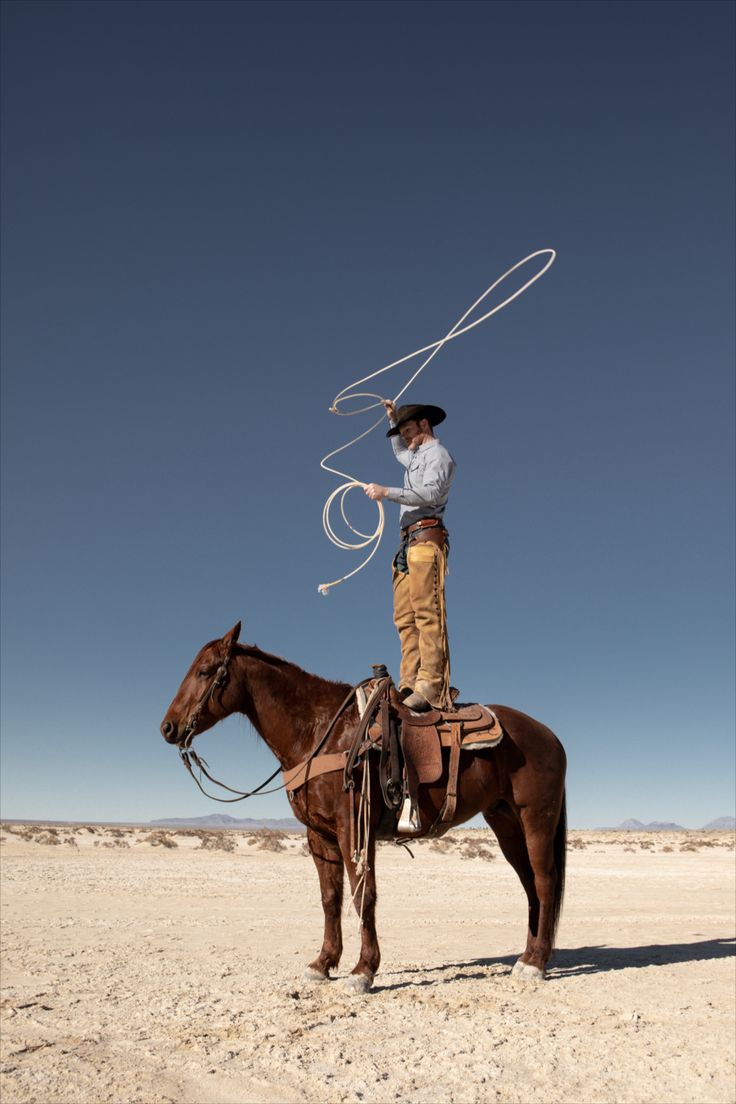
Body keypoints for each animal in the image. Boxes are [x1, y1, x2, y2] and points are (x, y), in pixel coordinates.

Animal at [160, 622, 564, 993]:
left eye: (205, 671)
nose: (168, 727)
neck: (319, 732)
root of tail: (550, 737)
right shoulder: (319, 835)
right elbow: (331, 898)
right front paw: (323, 963)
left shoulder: (354, 828)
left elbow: (363, 895)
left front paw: (363, 970)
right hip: (505, 822)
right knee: (529, 884)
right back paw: (526, 957)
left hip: (535, 819)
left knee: (544, 881)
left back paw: (535, 964)